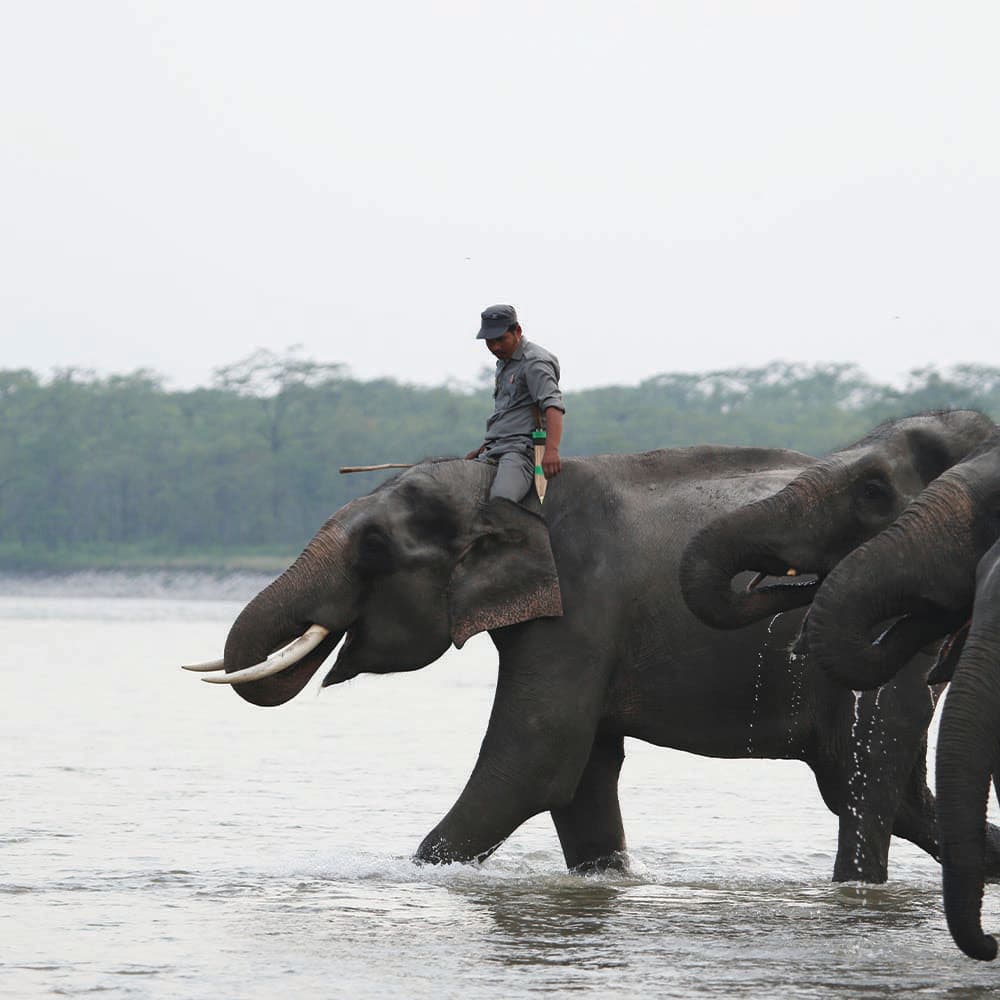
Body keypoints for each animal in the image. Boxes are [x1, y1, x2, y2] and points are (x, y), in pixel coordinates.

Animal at [184, 415, 1000, 884]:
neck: (498, 481)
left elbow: (533, 763)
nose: (789, 583)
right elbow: (581, 779)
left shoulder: (581, 606)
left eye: (377, 547)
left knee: (862, 787)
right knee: (885, 792)